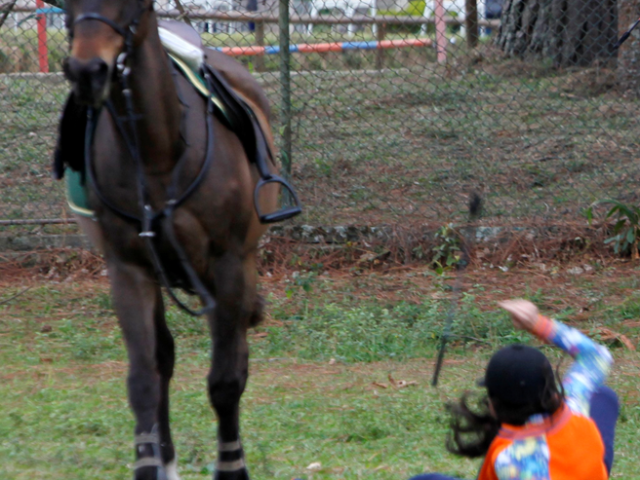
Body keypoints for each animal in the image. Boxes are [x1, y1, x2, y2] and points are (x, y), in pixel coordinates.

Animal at [58, 0, 294, 480]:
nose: (87, 70)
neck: (158, 151)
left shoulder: (227, 265)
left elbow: (226, 381)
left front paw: (232, 466)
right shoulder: (129, 270)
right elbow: (145, 378)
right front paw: (150, 463)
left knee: (236, 357)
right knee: (163, 359)